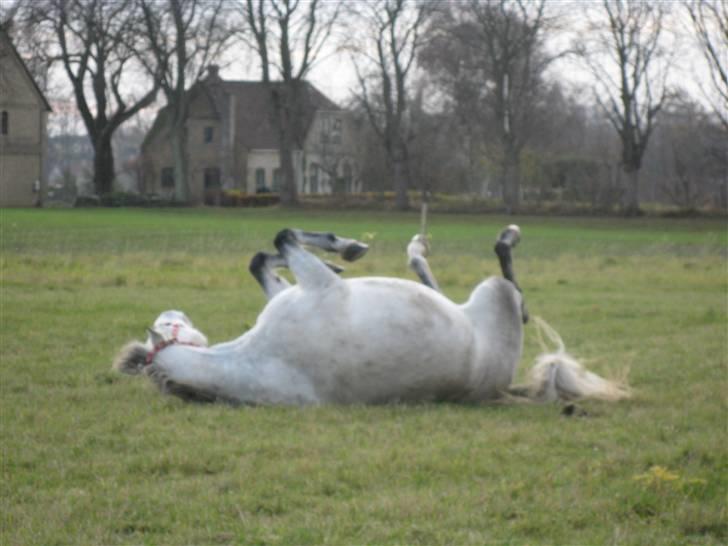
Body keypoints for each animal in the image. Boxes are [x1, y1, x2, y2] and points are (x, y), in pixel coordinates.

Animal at [112, 225, 624, 404]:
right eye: (169, 324)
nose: (173, 311)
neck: (247, 362)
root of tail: (500, 386)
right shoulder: (320, 286)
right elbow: (283, 238)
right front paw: (347, 247)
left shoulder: (300, 289)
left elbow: (261, 258)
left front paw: (342, 253)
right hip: (494, 296)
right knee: (512, 286)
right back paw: (498, 237)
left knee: (435, 284)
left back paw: (416, 246)